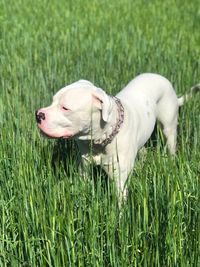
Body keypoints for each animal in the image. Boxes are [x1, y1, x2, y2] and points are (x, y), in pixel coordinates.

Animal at [36, 74, 198, 202]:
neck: (101, 137)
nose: (38, 114)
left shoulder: (120, 181)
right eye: (52, 101)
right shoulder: (83, 168)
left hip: (169, 127)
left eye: (65, 108)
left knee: (171, 143)